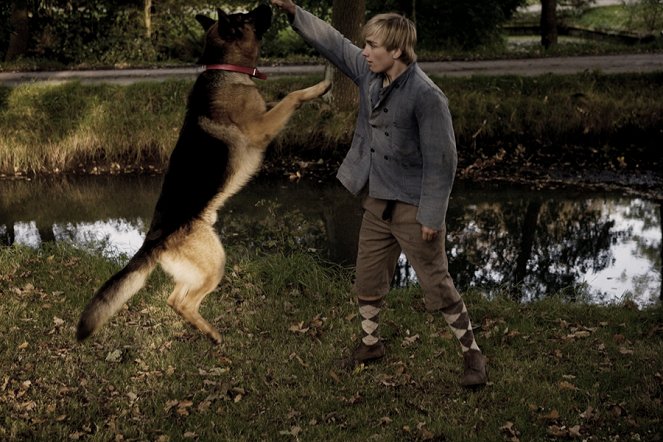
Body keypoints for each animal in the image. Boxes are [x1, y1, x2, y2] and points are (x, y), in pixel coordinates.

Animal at [76, 5, 332, 348]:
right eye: (246, 16)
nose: (269, 4)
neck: (225, 68)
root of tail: (153, 240)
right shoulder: (261, 128)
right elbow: (292, 95)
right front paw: (322, 85)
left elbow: (283, 96)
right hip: (215, 261)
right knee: (183, 301)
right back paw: (213, 334)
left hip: (199, 266)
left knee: (174, 299)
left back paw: (205, 330)